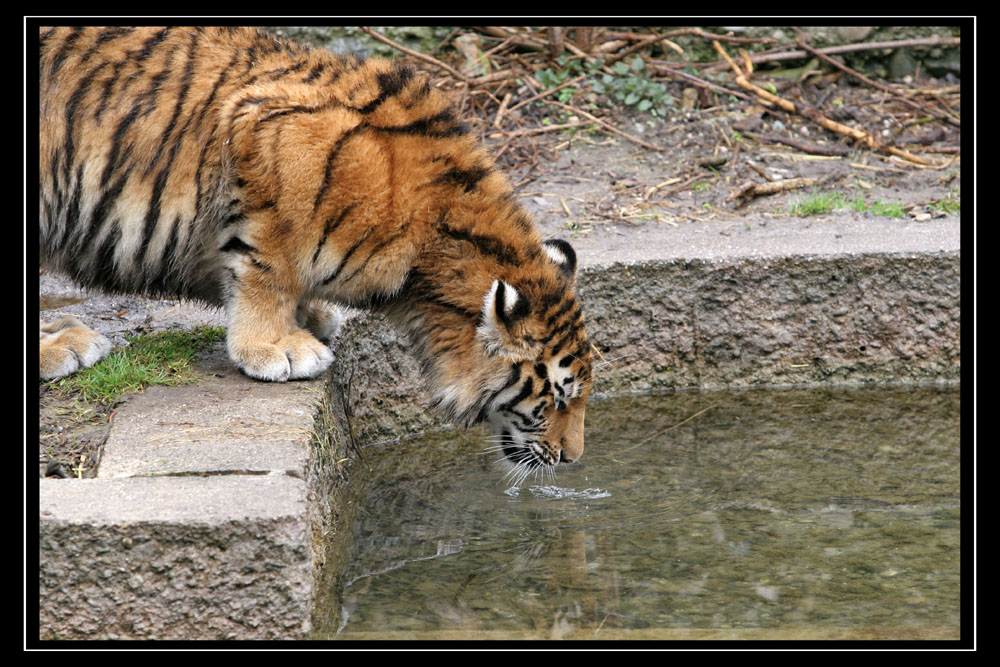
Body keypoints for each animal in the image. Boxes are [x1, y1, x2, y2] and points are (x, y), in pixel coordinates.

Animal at [39, 27, 592, 474]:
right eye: (555, 398)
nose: (573, 458)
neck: (433, 235)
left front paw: (311, 317)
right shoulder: (273, 143)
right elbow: (267, 271)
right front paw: (277, 347)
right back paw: (58, 349)